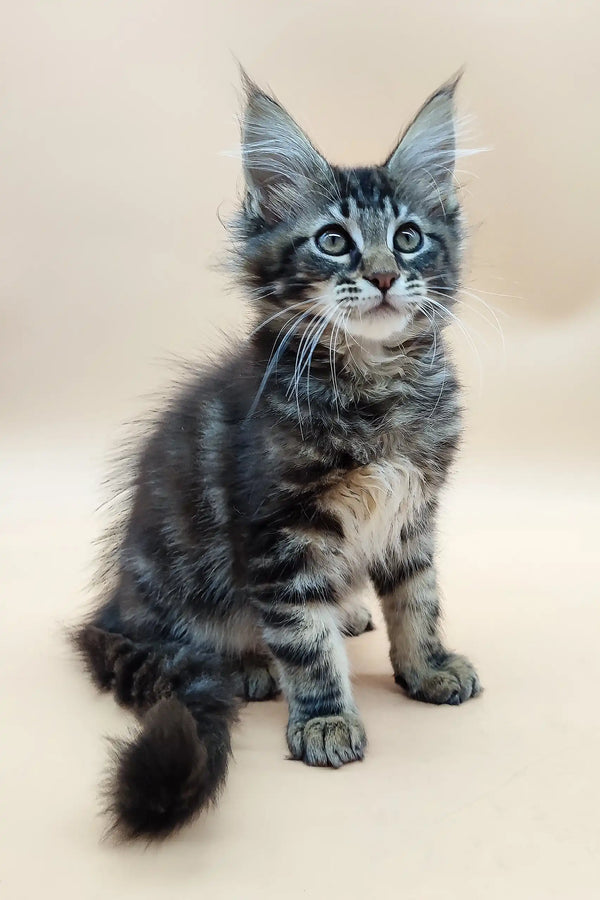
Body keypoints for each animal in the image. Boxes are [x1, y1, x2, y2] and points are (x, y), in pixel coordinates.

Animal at [72, 74, 480, 840]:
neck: (376, 385)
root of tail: (112, 605)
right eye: (333, 241)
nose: (384, 276)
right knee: (190, 644)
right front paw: (323, 720)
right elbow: (304, 638)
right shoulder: (280, 533)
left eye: (409, 239)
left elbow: (418, 598)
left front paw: (429, 667)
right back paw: (248, 668)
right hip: (181, 595)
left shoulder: (413, 512)